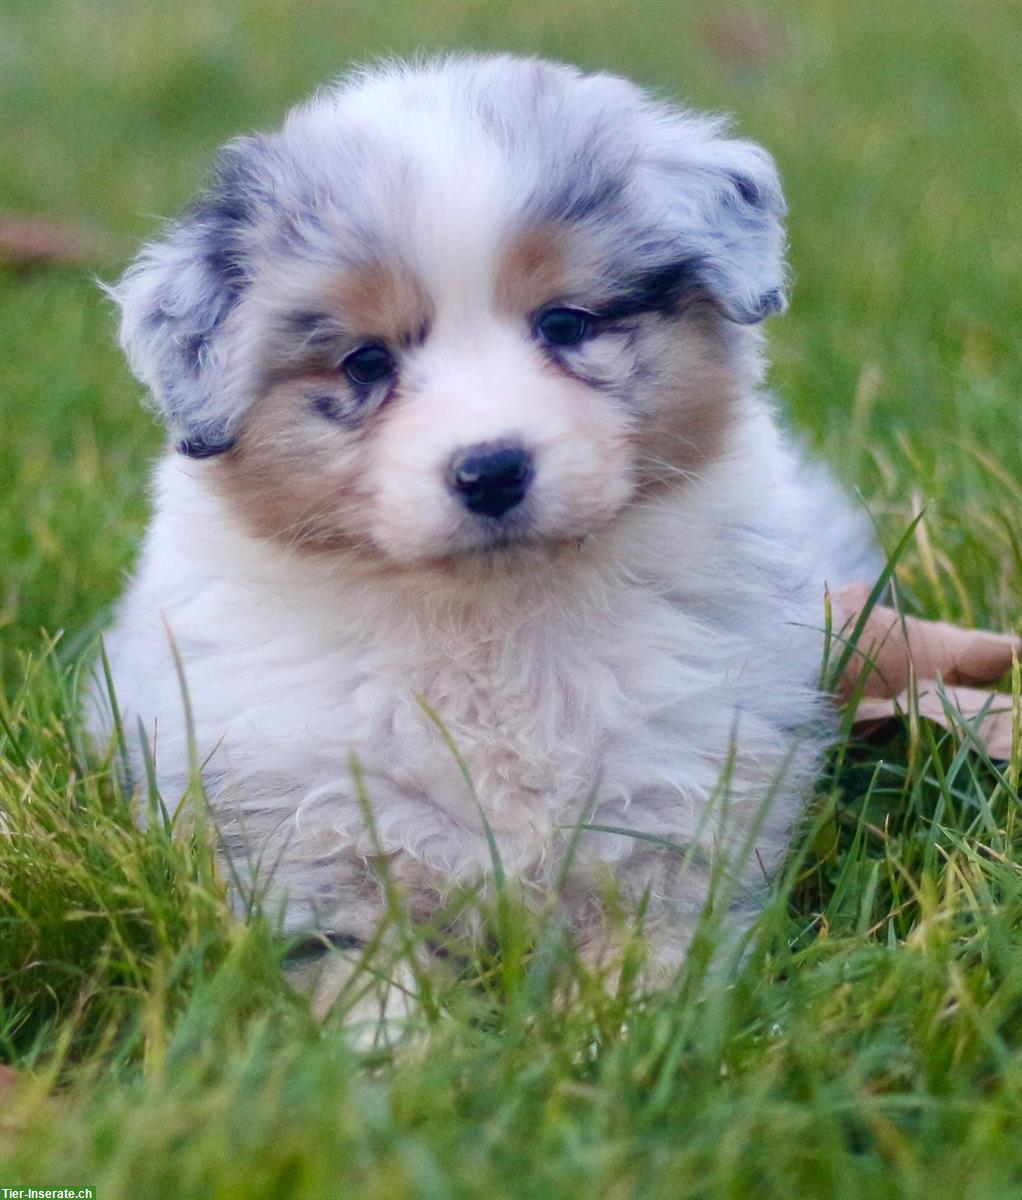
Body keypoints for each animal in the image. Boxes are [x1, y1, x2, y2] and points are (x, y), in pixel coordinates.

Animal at [87, 56, 873, 988]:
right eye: (366, 363)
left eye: (566, 323)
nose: (492, 469)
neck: (489, 620)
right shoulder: (309, 835)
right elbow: (368, 982)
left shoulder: (675, 805)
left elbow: (650, 968)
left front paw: (625, 1018)